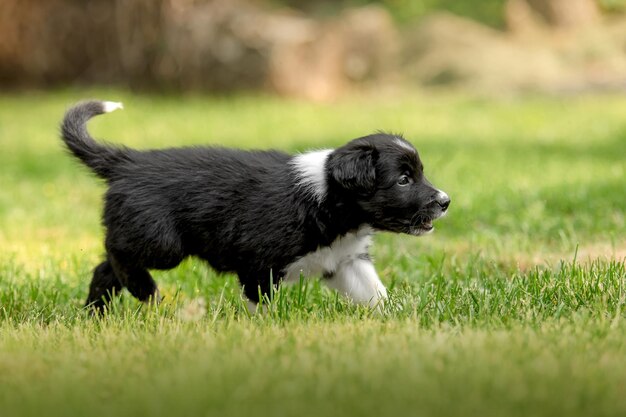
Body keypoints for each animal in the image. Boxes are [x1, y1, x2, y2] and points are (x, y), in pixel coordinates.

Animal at [59, 99, 448, 310]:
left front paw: (399, 316)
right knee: (116, 252)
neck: (328, 200)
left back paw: (96, 315)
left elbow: (374, 294)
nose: (445, 202)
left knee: (104, 269)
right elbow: (261, 305)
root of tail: (128, 161)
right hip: (162, 242)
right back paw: (146, 291)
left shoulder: (345, 260)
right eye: (403, 180)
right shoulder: (258, 263)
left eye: (419, 173)